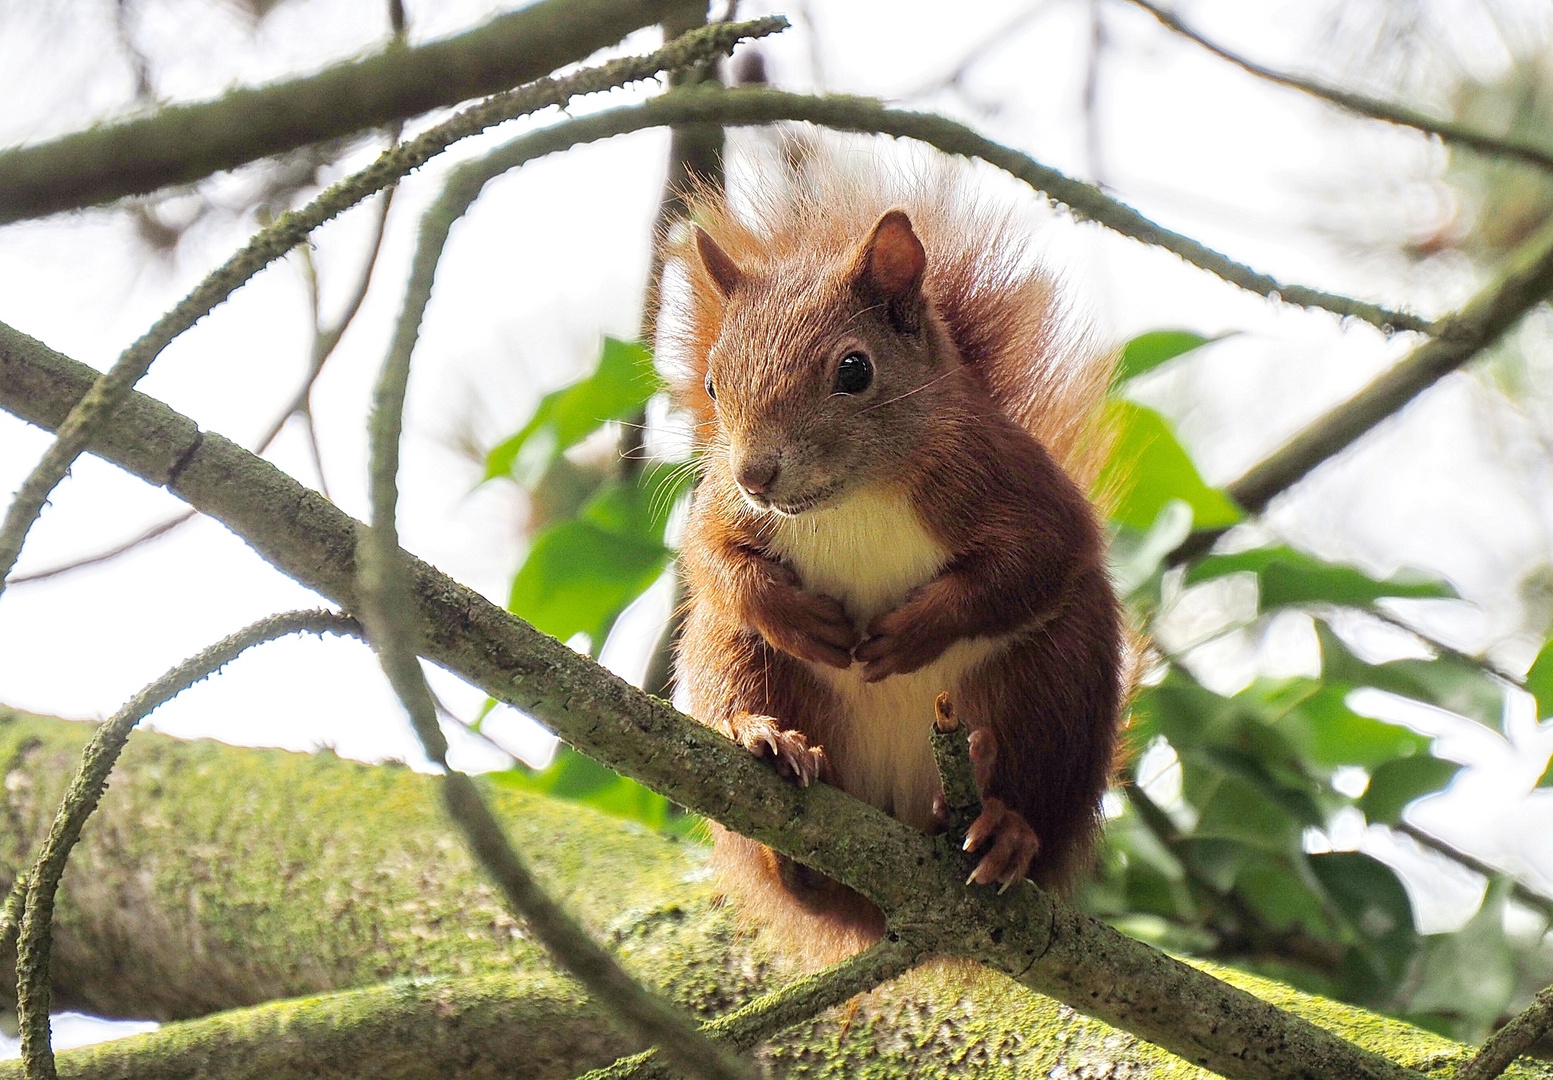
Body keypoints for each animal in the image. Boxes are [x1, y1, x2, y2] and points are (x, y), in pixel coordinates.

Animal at [661, 162, 1124, 963]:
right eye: (715, 383)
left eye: (854, 370)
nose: (756, 474)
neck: (852, 500)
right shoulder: (722, 506)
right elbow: (711, 559)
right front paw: (795, 617)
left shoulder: (1014, 485)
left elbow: (1031, 565)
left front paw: (915, 632)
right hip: (730, 653)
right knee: (736, 684)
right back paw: (768, 750)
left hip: (1062, 680)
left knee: (1034, 775)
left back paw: (1004, 828)